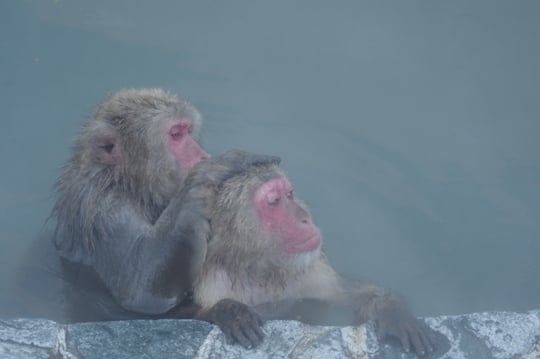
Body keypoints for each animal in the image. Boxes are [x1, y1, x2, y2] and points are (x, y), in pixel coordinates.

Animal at [192, 162, 436, 356]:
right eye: (274, 201)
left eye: (289, 195)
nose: (305, 218)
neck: (261, 270)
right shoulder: (212, 284)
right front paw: (231, 312)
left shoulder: (315, 273)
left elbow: (354, 296)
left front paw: (393, 311)